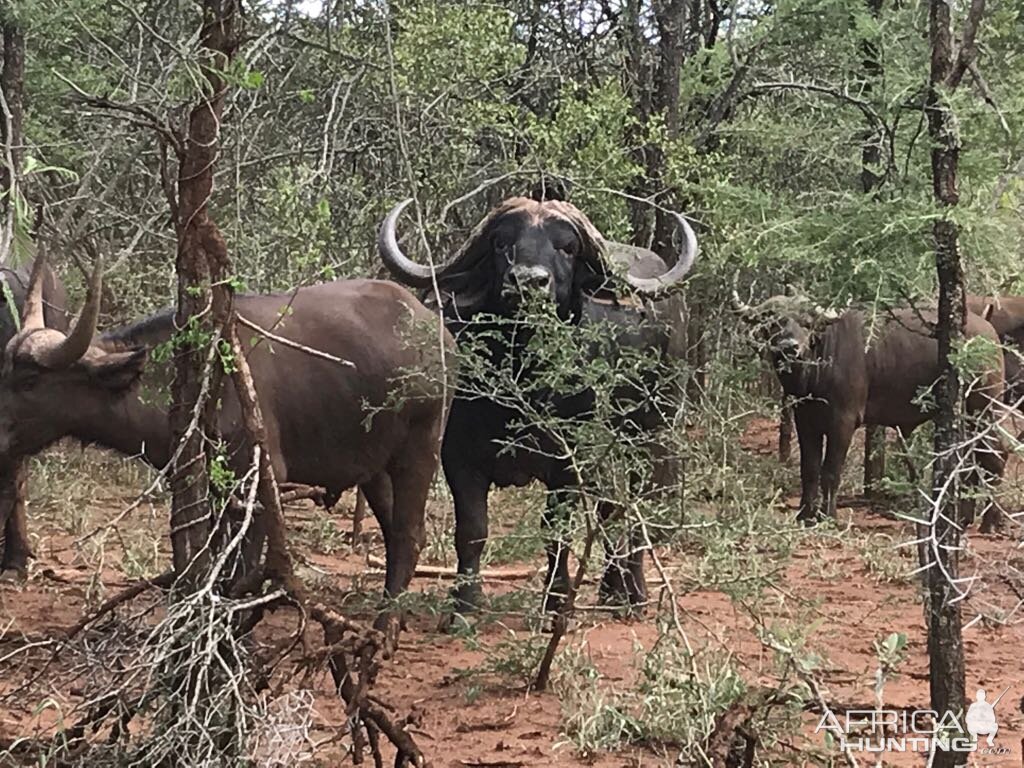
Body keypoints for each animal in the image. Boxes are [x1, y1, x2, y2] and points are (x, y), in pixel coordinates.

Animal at [1, 249, 452, 598]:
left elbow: (239, 573)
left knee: (409, 535)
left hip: (421, 447)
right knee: (395, 532)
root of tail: (435, 332)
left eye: (30, 380)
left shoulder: (257, 482)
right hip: (375, 468)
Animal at [380, 196, 700, 614]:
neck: (524, 377)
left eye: (568, 247)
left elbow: (556, 530)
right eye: (501, 242)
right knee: (611, 508)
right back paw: (612, 589)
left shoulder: (569, 460)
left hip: (653, 433)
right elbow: (472, 530)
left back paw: (632, 592)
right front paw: (465, 604)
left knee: (635, 505)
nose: (528, 281)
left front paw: (556, 602)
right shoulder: (458, 454)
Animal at [737, 296, 1007, 528]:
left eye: (807, 321)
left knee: (995, 457)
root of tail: (989, 333)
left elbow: (830, 471)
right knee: (974, 461)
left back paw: (991, 522)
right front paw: (805, 515)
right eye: (772, 321)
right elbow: (809, 469)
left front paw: (828, 516)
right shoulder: (804, 420)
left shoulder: (843, 422)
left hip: (982, 409)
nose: (789, 347)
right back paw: (965, 519)